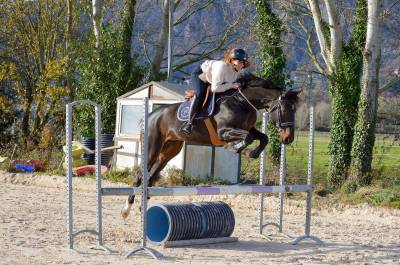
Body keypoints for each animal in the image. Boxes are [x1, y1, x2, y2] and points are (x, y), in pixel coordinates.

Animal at [122, 71, 300, 218]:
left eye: (295, 110)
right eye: (285, 110)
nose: (288, 138)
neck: (241, 101)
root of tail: (150, 115)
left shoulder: (247, 128)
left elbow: (264, 137)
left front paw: (253, 153)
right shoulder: (224, 132)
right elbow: (248, 138)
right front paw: (237, 148)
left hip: (169, 152)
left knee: (151, 177)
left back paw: (143, 209)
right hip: (152, 149)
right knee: (139, 175)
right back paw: (126, 209)